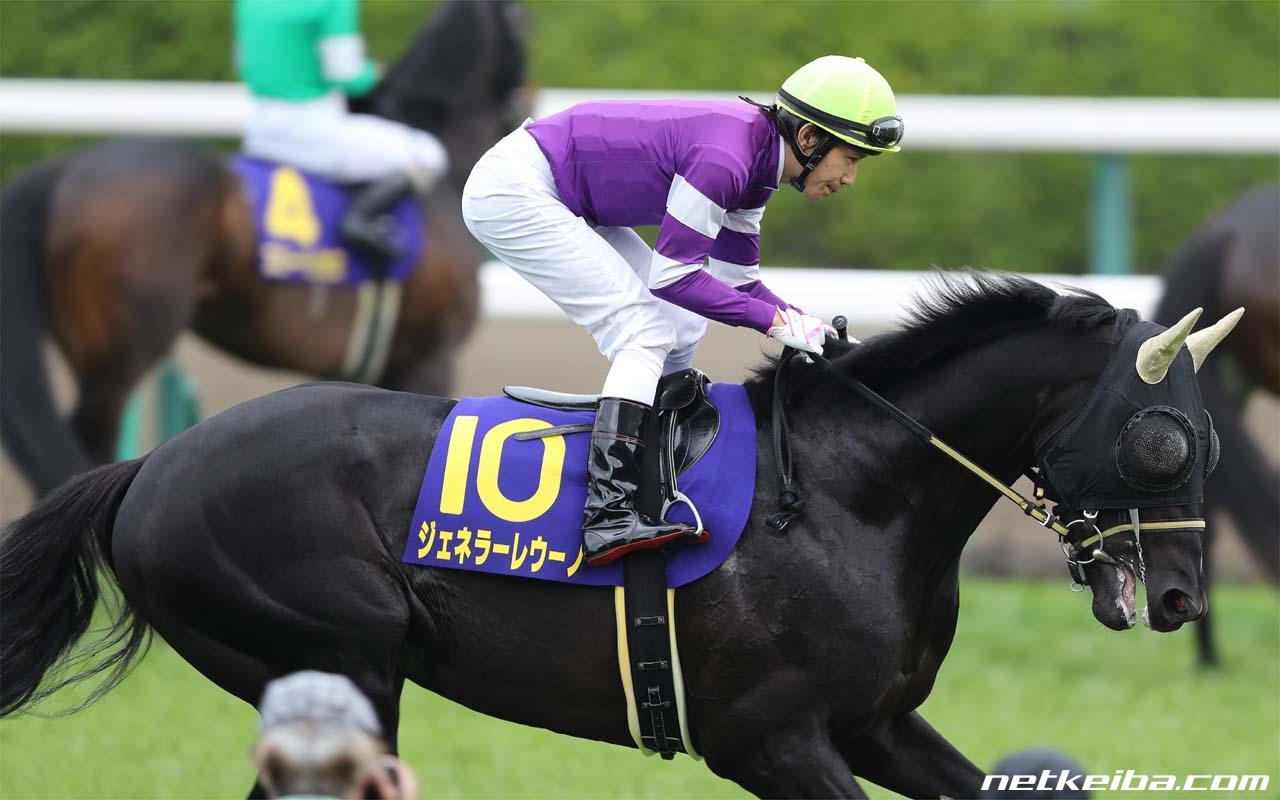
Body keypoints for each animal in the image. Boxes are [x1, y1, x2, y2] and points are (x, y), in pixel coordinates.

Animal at [1, 274, 1229, 799]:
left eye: (1211, 441)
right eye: (1161, 442)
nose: (1179, 597)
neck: (855, 494)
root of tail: (150, 466)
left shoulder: (876, 723)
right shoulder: (769, 739)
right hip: (337, 657)